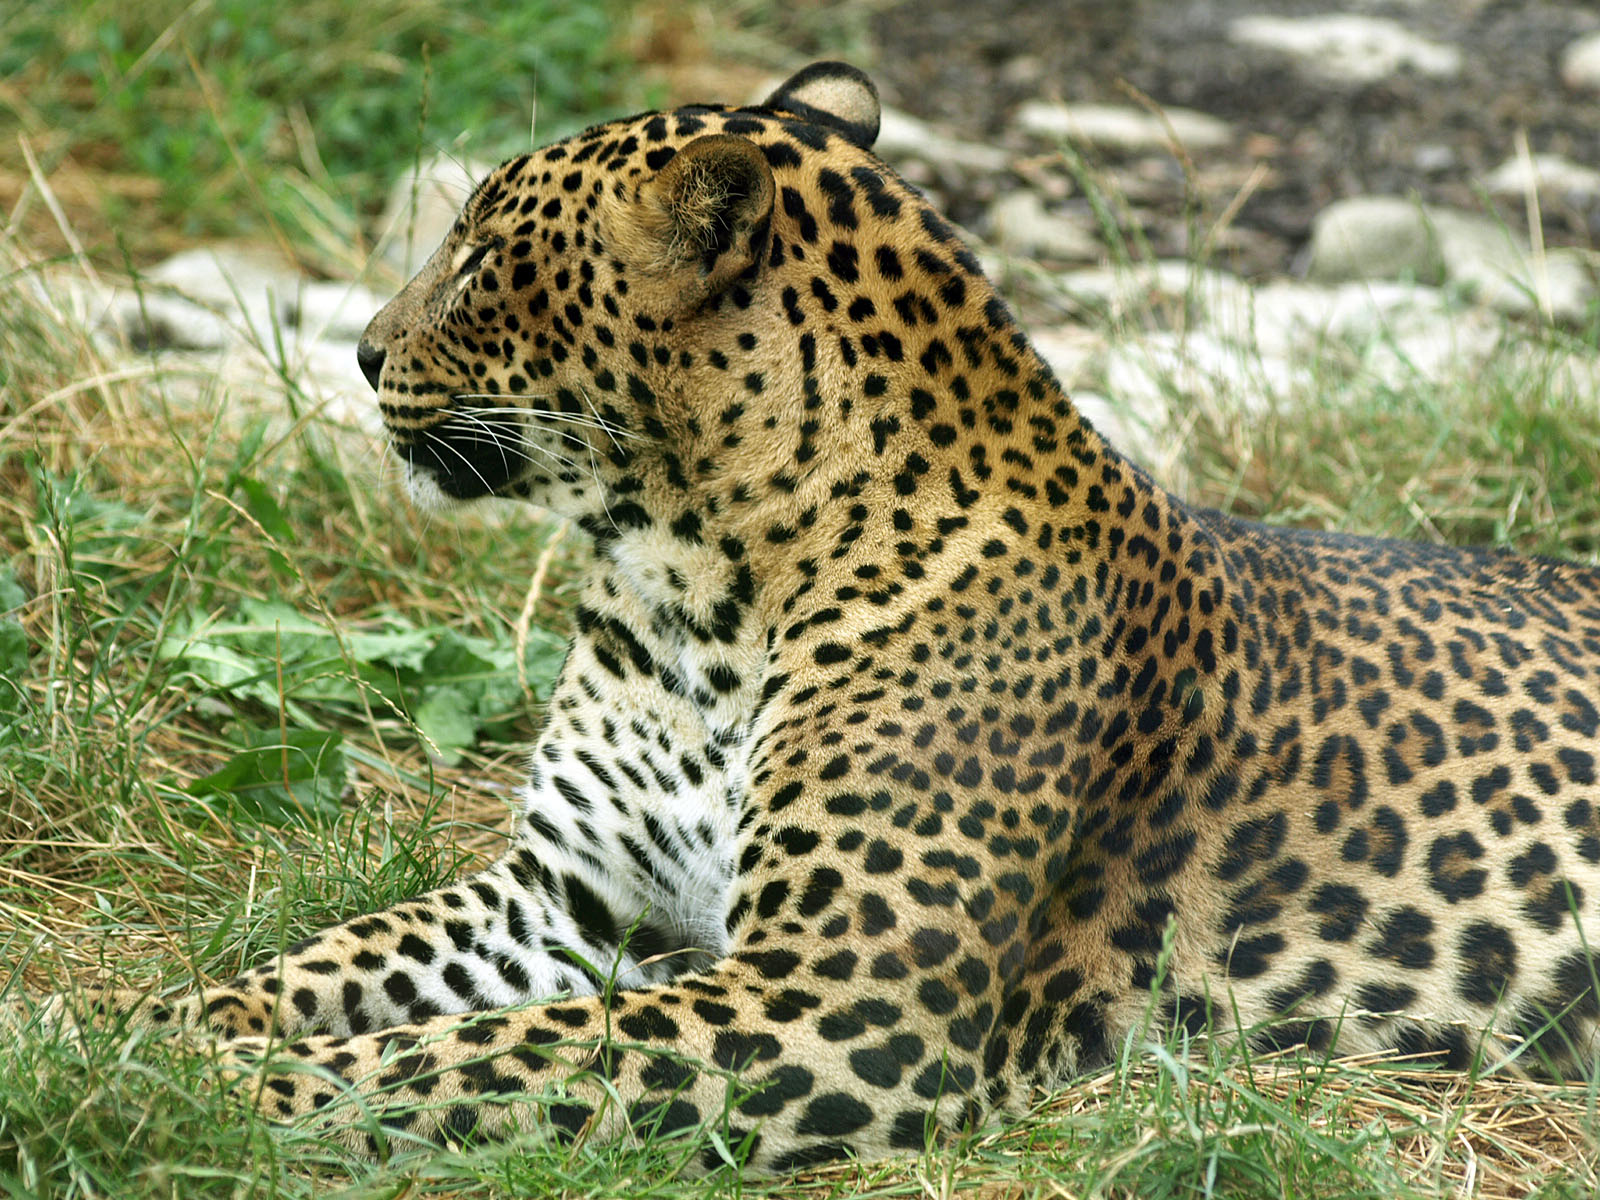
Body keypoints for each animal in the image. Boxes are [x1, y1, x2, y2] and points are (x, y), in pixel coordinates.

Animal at [35, 61, 1600, 1174]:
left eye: (479, 262)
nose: (361, 355)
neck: (680, 585)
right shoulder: (570, 897)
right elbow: (341, 960)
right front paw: (145, 1032)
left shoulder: (833, 1003)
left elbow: (484, 1058)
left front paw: (223, 1087)